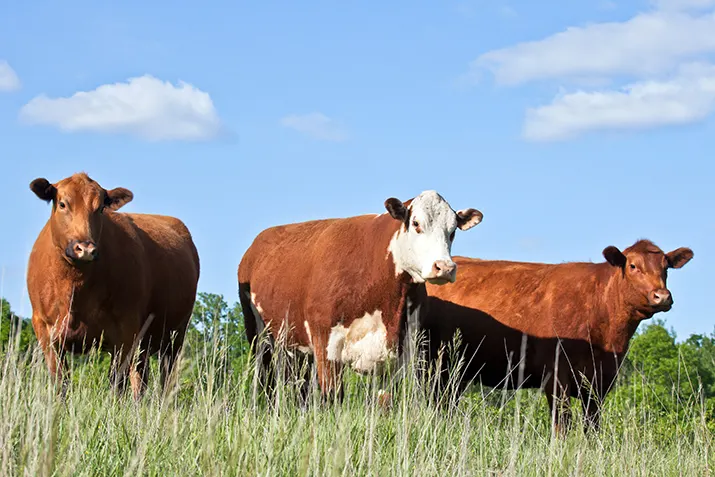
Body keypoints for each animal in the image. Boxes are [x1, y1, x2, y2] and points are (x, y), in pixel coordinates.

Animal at [26, 171, 200, 398]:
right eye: (63, 204)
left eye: (100, 207)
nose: (85, 249)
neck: (74, 288)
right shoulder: (45, 330)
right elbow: (60, 383)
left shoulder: (125, 331)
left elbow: (117, 384)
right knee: (140, 377)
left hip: (174, 336)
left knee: (164, 379)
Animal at [238, 190, 484, 398]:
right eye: (416, 223)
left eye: (452, 231)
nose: (445, 267)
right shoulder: (326, 345)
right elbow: (332, 397)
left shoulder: (399, 352)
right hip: (260, 338)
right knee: (265, 382)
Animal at [422, 240, 696, 434]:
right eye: (633, 266)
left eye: (666, 267)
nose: (662, 296)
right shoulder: (556, 376)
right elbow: (562, 426)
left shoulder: (600, 382)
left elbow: (592, 427)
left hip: (456, 371)